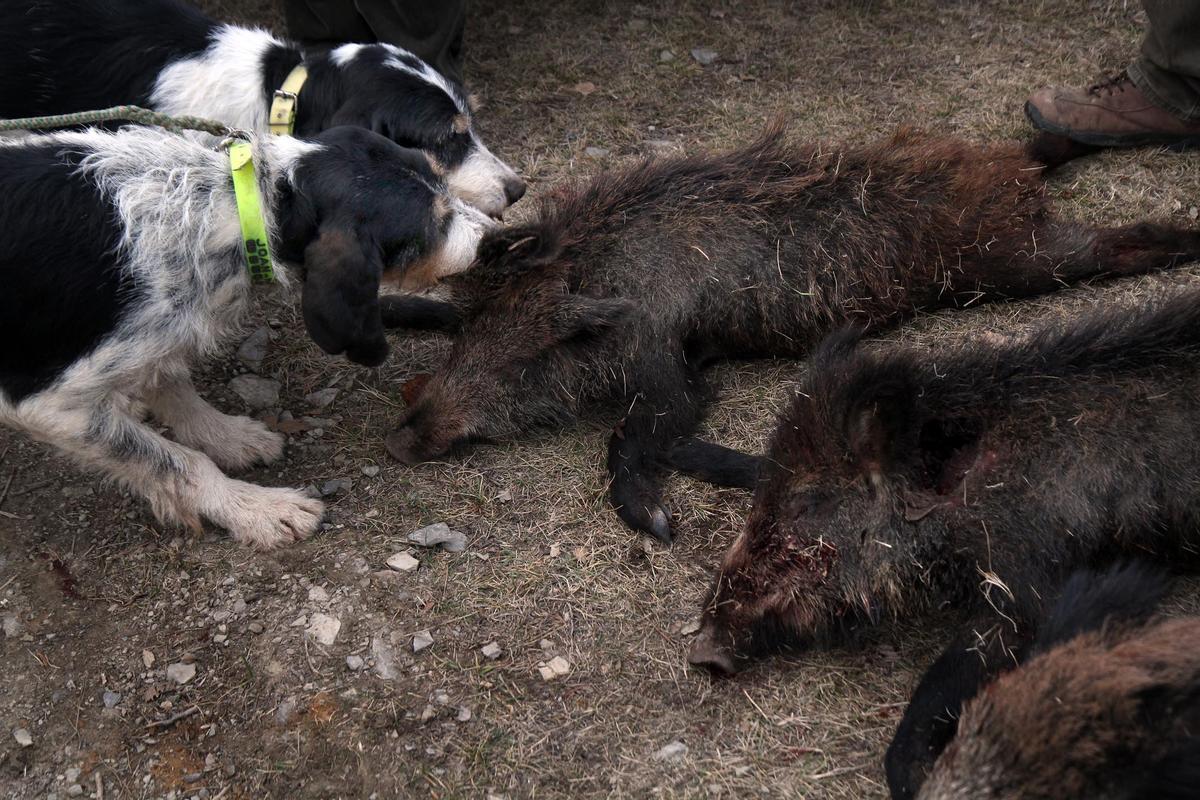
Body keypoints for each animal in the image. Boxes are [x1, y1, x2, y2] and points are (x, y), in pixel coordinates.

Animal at [1, 125, 492, 551]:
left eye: (441, 179)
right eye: (434, 224)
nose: (496, 237)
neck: (228, 205)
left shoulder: (155, 333)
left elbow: (171, 383)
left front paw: (227, 437)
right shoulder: (49, 405)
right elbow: (176, 461)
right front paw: (254, 507)